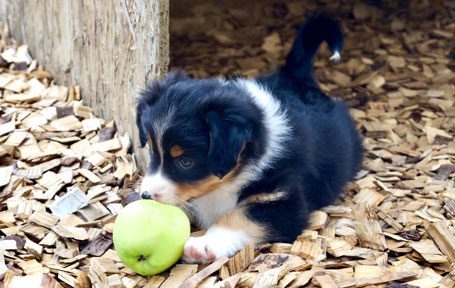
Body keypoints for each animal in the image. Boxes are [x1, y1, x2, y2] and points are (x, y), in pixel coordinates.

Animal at [135, 15, 364, 264]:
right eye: (152, 150)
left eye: (185, 161)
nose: (145, 196)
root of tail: (294, 77)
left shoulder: (285, 201)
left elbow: (237, 216)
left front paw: (204, 245)